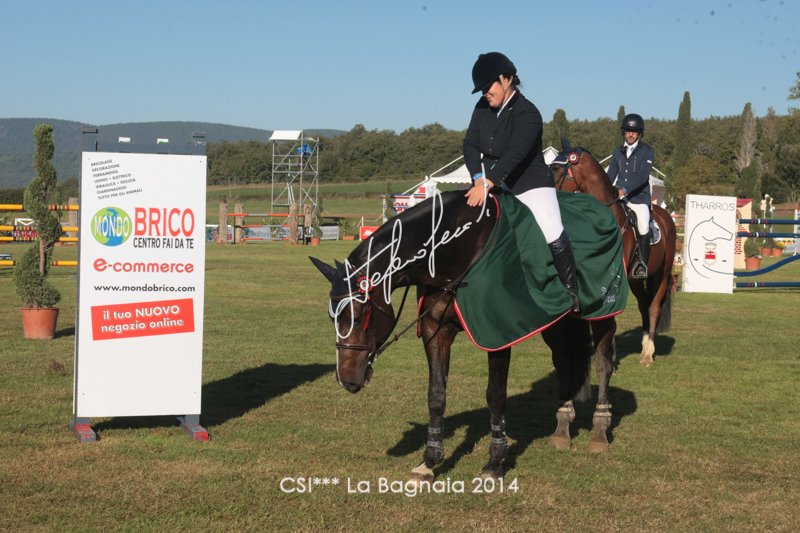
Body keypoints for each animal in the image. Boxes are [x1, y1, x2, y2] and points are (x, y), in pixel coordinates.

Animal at [311, 189, 618, 482]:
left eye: (360, 314)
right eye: (332, 316)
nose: (347, 380)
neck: (457, 254)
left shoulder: (498, 333)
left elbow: (495, 395)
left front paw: (494, 463)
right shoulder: (436, 330)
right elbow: (436, 394)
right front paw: (429, 462)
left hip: (603, 312)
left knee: (603, 362)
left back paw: (599, 431)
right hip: (557, 323)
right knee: (564, 361)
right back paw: (562, 429)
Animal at [550, 141, 677, 367]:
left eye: (556, 168)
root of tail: (666, 217)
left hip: (661, 273)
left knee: (654, 308)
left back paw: (648, 355)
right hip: (635, 281)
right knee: (644, 306)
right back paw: (644, 345)